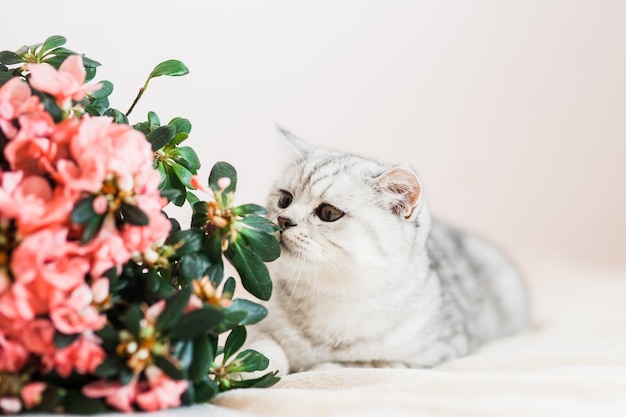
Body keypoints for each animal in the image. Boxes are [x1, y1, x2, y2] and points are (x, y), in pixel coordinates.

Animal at [244, 127, 528, 374]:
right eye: (284, 200)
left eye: (328, 213)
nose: (283, 220)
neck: (329, 296)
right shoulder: (261, 326)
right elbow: (264, 349)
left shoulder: (429, 356)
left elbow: (346, 365)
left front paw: (312, 368)